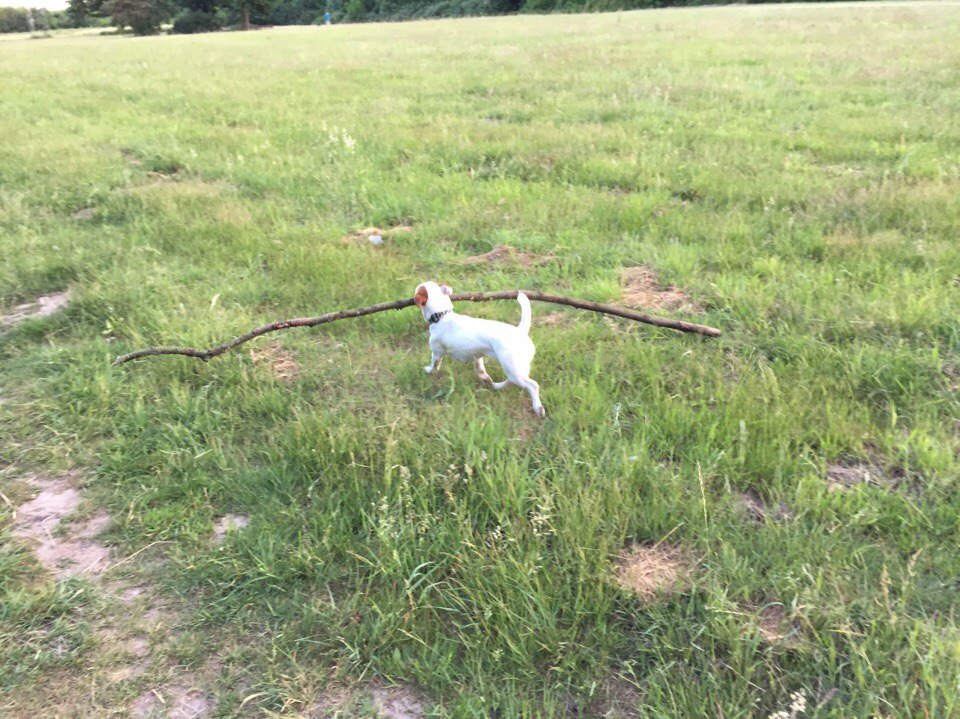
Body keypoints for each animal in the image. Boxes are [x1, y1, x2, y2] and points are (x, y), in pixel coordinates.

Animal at [414, 282, 548, 416]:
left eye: (418, 290)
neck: (442, 316)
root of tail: (520, 331)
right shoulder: (477, 356)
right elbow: (481, 370)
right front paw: (485, 379)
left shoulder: (436, 353)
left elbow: (434, 365)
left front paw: (428, 370)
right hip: (515, 370)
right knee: (511, 380)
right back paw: (496, 386)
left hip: (513, 369)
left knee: (533, 385)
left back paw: (538, 408)